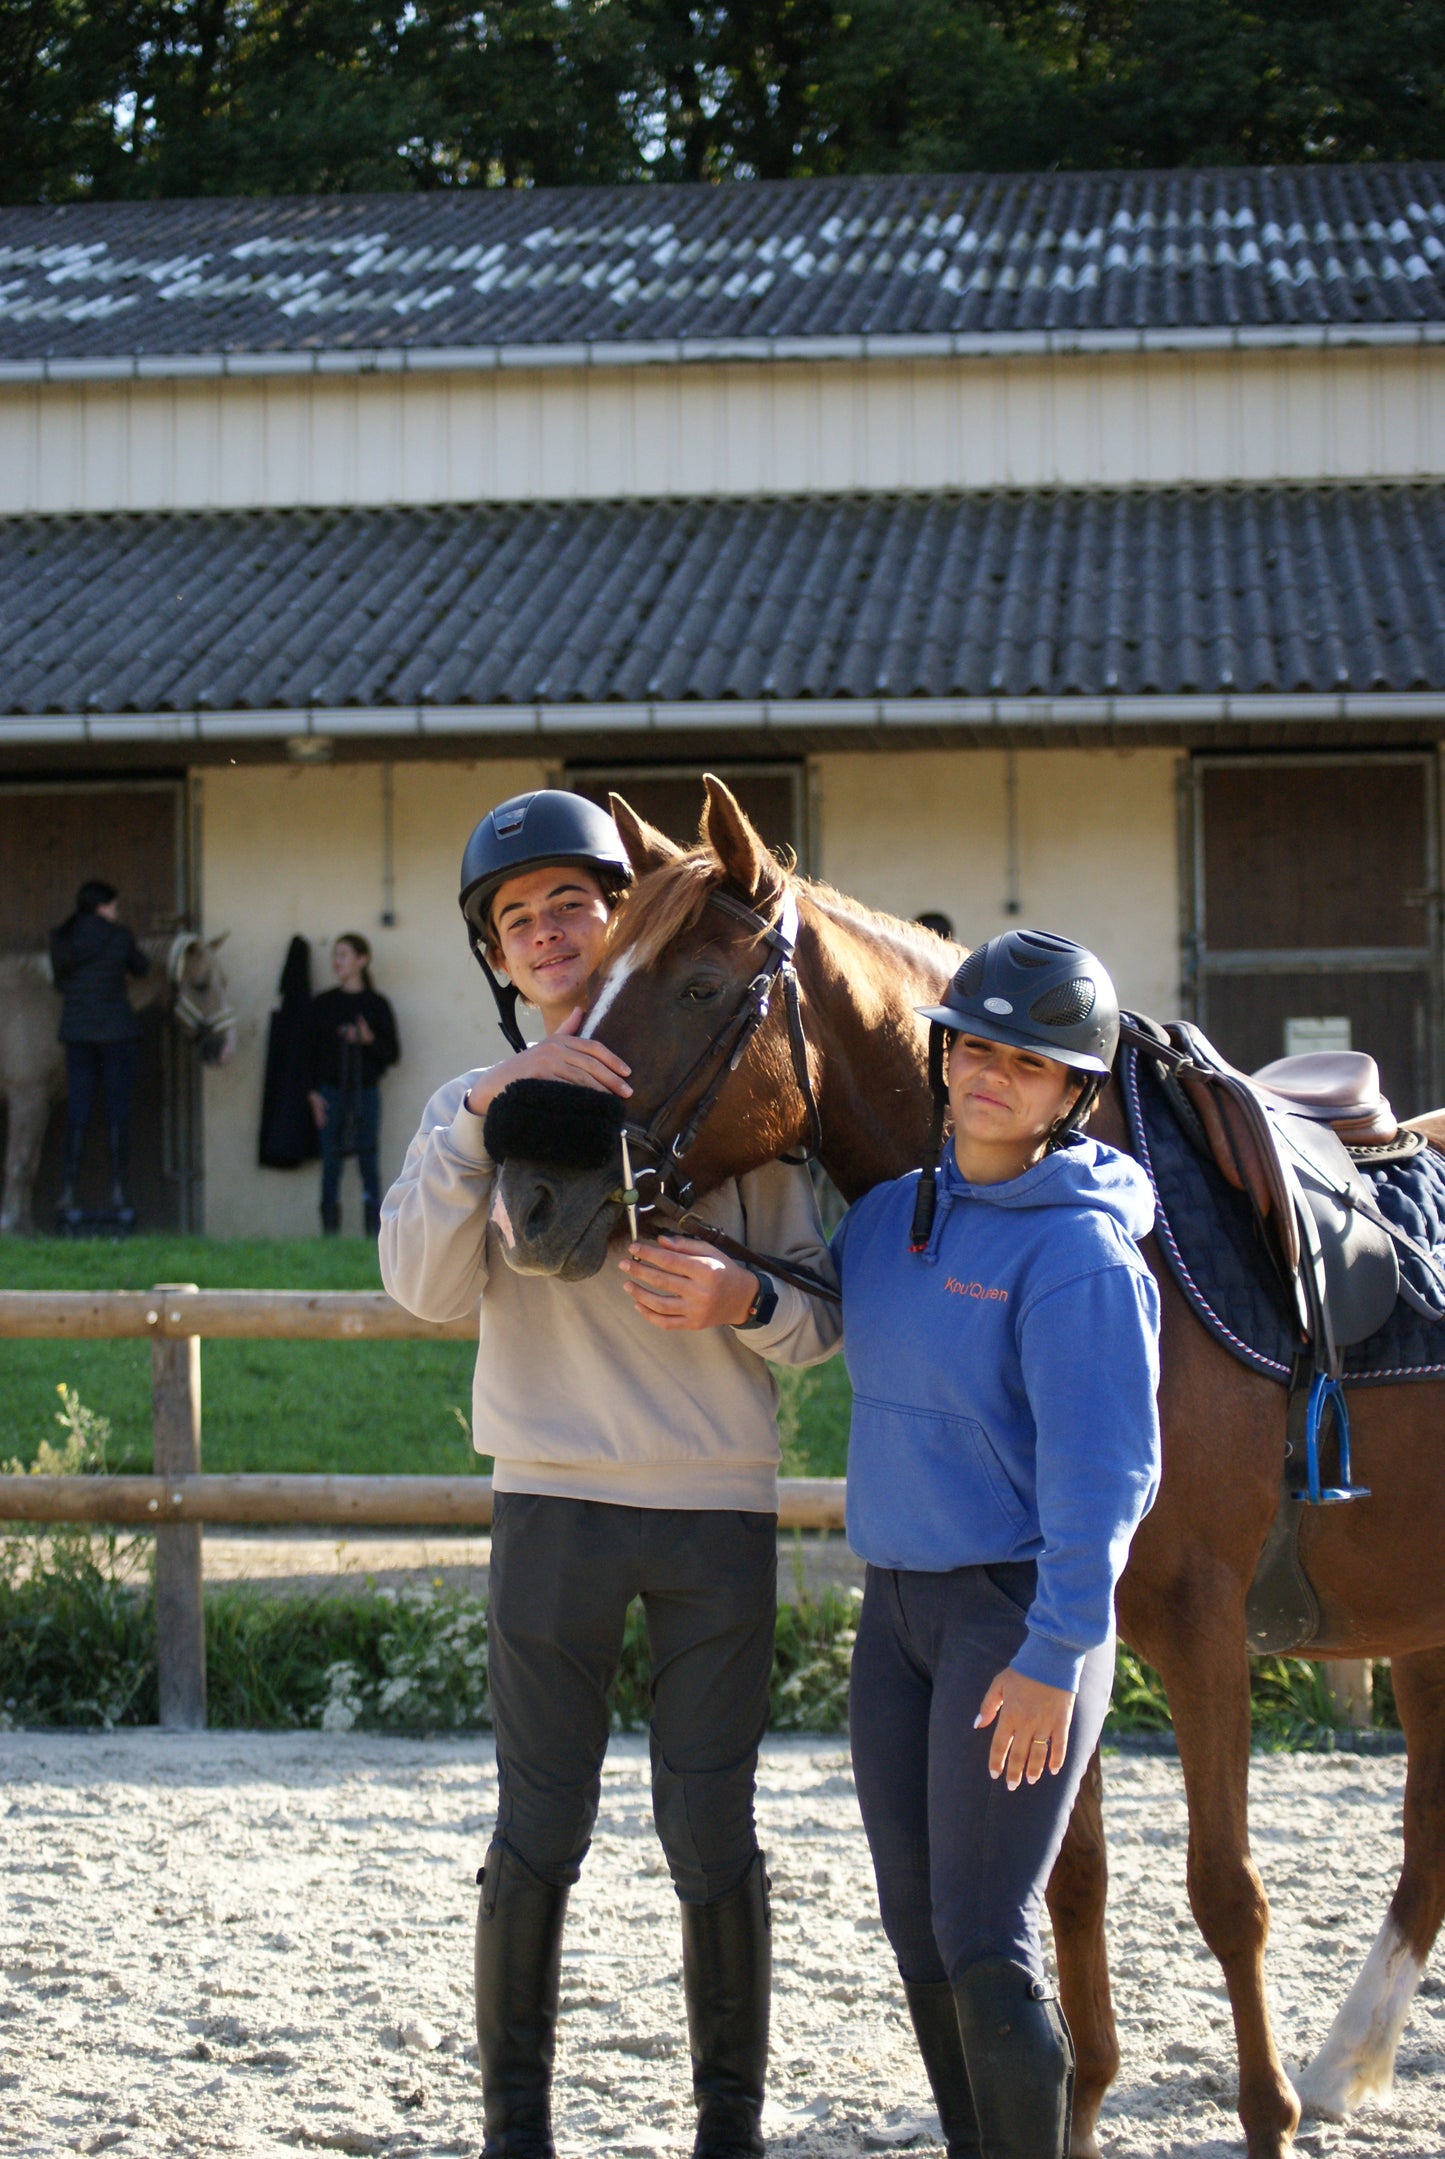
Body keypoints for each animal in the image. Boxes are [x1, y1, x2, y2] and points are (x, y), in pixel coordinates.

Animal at [0, 928, 234, 1234]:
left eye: (224, 982)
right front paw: (12, 1227)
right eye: (200, 985)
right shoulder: (27, 1097)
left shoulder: (42, 1101)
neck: (51, 1001)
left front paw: (25, 1227)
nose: (226, 1049)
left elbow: (31, 1164)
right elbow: (20, 1164)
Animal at [490, 781, 1442, 2159]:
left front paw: (1260, 2116)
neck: (1130, 1242)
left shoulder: (1200, 1625)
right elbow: (1071, 1887)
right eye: (591, 976)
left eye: (701, 987)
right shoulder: (1064, 1637)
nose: (528, 1198)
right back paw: (1342, 2059)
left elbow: (1224, 1892)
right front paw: (1082, 2108)